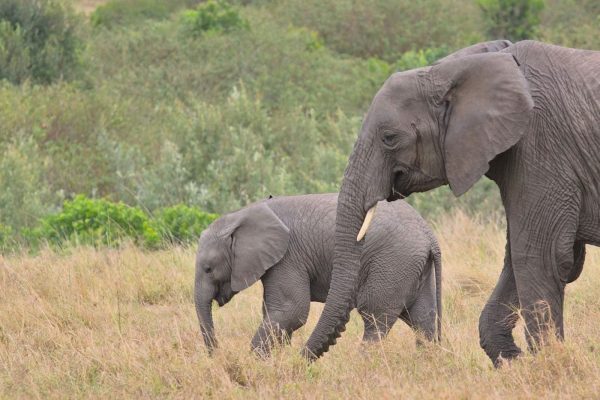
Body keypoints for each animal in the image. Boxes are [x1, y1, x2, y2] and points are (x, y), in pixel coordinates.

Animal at [196, 194, 440, 356]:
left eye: (208, 269)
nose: (218, 354)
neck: (241, 215)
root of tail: (429, 235)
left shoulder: (288, 258)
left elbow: (291, 311)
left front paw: (257, 362)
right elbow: (277, 313)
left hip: (393, 262)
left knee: (374, 317)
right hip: (414, 268)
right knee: (422, 318)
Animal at [304, 39, 600, 366]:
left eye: (389, 138)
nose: (301, 358)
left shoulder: (541, 146)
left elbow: (540, 255)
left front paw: (546, 365)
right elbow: (523, 259)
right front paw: (514, 362)